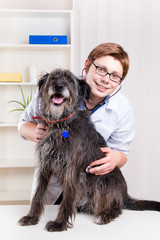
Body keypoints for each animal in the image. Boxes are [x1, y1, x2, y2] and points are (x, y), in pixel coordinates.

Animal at [18, 68, 160, 232]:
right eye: (53, 77)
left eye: (70, 80)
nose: (58, 86)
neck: (61, 125)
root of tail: (125, 195)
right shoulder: (45, 165)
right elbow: (38, 194)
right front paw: (32, 217)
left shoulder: (72, 169)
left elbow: (67, 198)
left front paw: (60, 223)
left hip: (104, 181)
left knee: (118, 207)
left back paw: (104, 215)